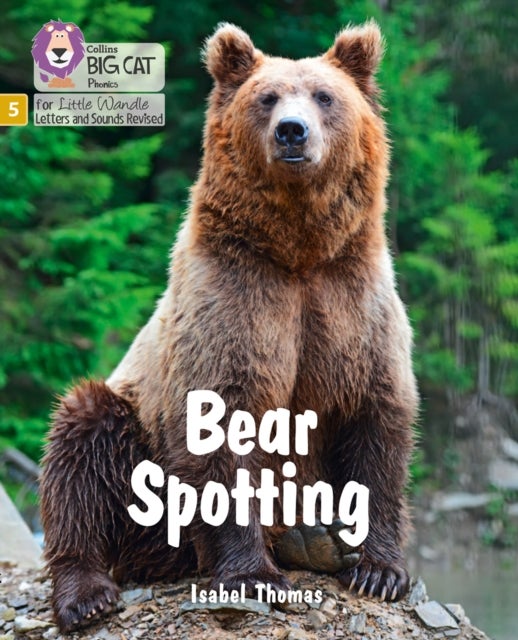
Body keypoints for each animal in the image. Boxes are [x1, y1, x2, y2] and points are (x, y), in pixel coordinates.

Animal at [40, 21, 418, 632]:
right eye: (267, 98)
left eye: (324, 95)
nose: (292, 132)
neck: (297, 251)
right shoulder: (233, 300)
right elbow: (221, 425)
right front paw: (253, 576)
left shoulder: (352, 304)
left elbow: (377, 422)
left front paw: (379, 570)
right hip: (135, 445)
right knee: (81, 446)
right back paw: (86, 593)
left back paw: (313, 539)